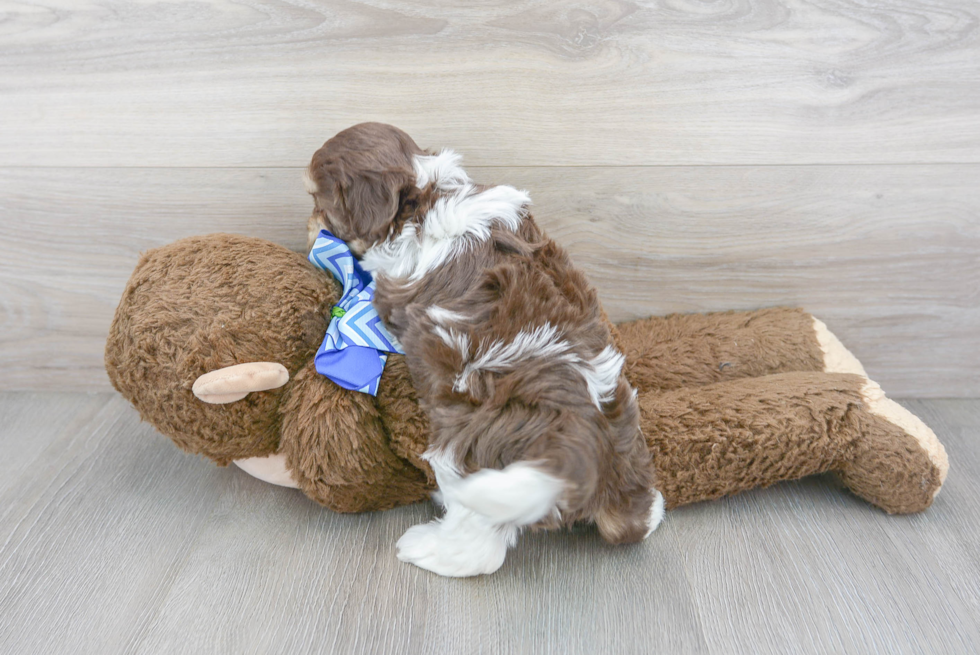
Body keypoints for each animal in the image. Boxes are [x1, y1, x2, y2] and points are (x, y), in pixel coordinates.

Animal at [302, 121, 664, 576]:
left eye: (317, 199)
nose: (308, 226)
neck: (426, 191)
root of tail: (584, 443)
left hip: (468, 448)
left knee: (480, 544)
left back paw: (426, 546)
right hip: (629, 457)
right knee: (639, 516)